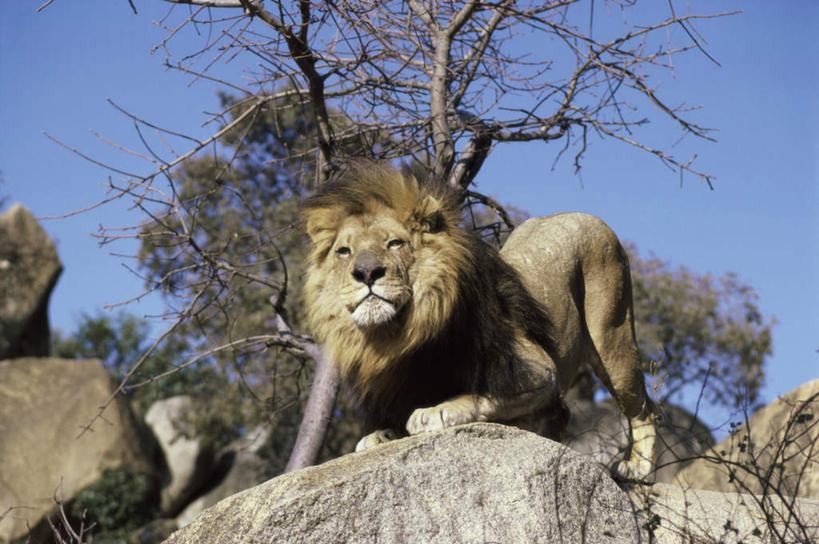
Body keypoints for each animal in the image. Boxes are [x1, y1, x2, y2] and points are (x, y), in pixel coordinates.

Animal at [302, 164, 660, 478]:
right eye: (344, 251)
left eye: (395, 243)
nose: (366, 273)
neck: (399, 335)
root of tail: (576, 213)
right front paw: (380, 435)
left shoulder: (540, 372)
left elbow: (481, 397)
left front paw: (435, 410)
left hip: (612, 338)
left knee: (644, 408)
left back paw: (638, 467)